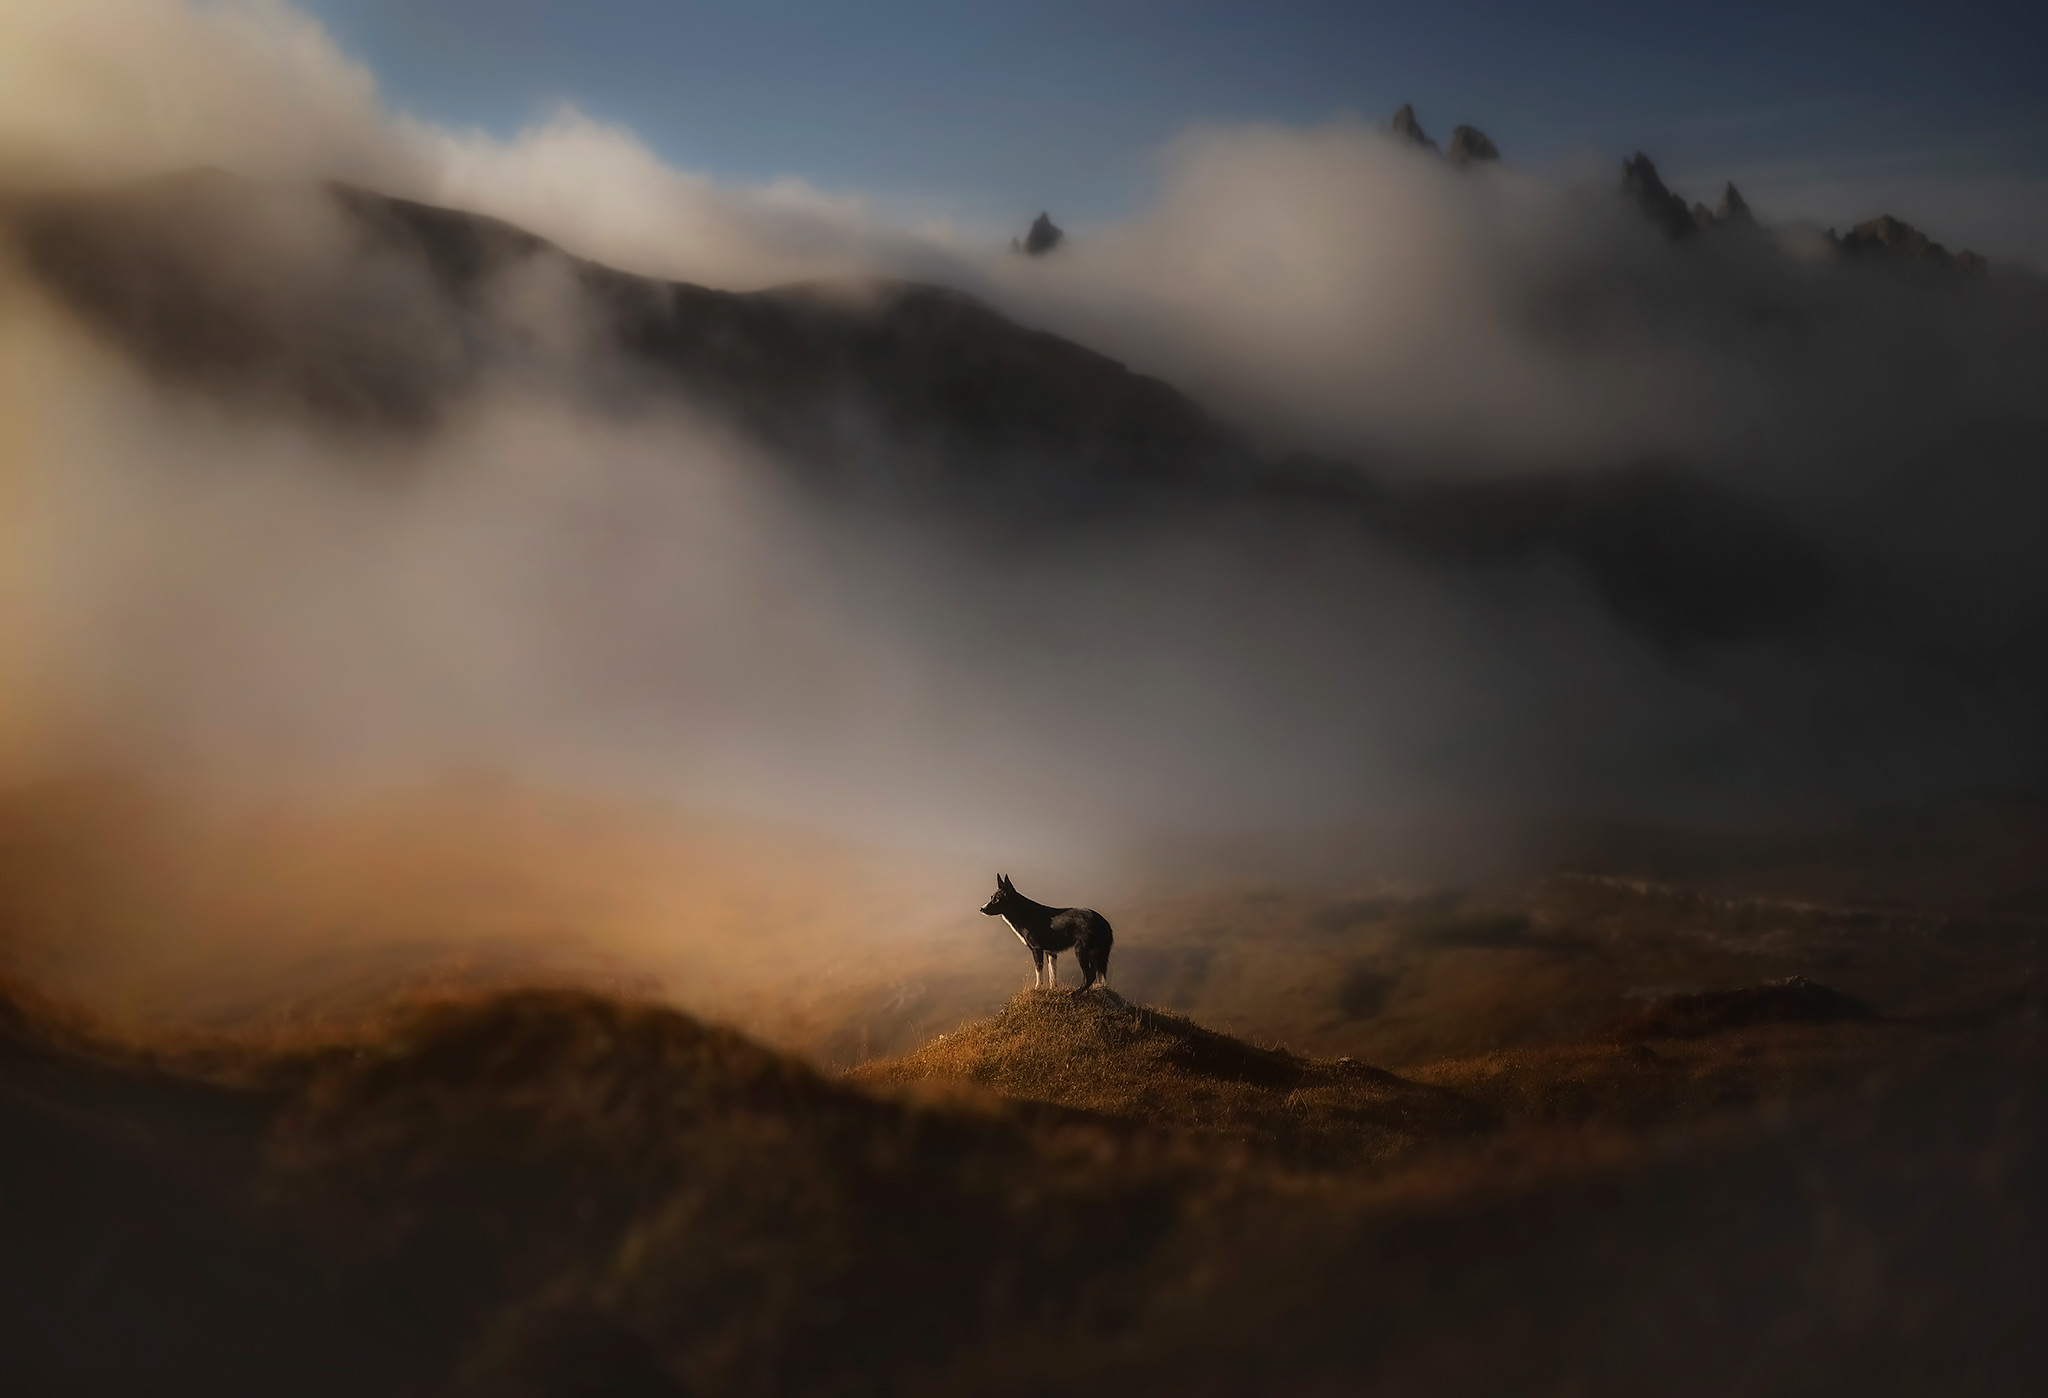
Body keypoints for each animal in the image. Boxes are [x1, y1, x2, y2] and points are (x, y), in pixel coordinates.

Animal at [978, 880, 1114, 990]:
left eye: (997, 899)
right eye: (991, 897)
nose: (981, 909)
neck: (1024, 913)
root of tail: (1104, 922)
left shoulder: (1036, 949)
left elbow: (1039, 970)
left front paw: (1038, 988)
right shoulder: (1051, 952)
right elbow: (1052, 974)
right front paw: (1053, 989)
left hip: (1082, 951)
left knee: (1089, 976)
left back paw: (1075, 993)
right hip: (1099, 954)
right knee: (1100, 976)